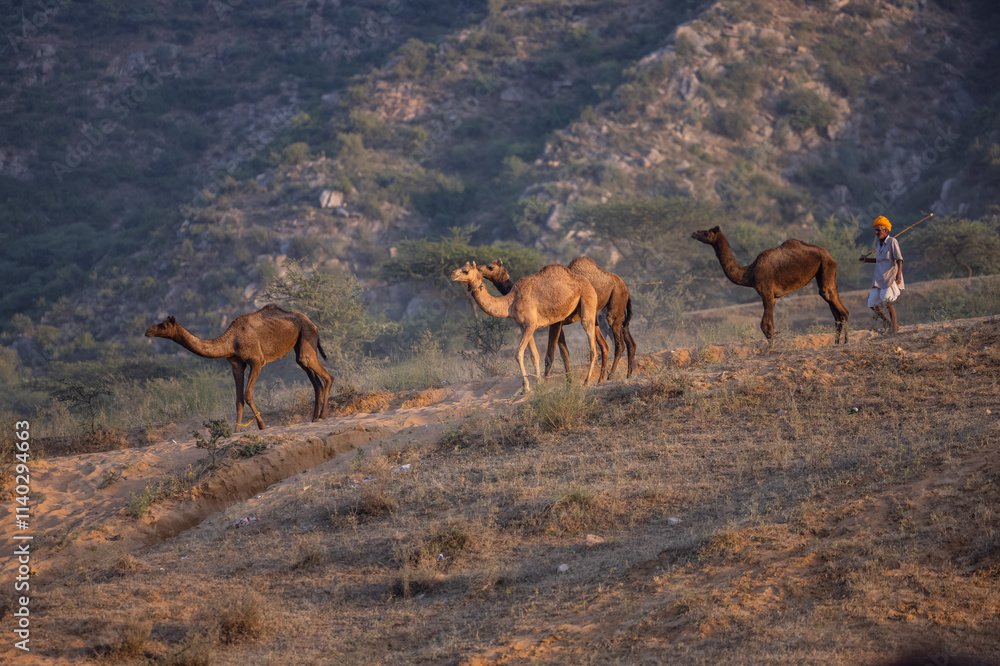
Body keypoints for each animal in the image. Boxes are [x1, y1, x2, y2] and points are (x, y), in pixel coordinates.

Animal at [145, 304, 333, 431]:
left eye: (163, 325)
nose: (148, 331)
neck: (231, 341)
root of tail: (313, 323)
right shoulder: (236, 364)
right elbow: (238, 399)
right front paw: (236, 431)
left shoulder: (256, 360)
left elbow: (247, 394)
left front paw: (262, 425)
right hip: (300, 344)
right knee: (314, 379)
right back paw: (314, 417)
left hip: (307, 334)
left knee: (322, 373)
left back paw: (323, 416)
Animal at [450, 261, 599, 393]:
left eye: (466, 271)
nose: (452, 274)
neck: (510, 302)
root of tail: (588, 282)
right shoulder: (523, 326)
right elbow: (534, 355)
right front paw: (538, 384)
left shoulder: (530, 324)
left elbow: (518, 353)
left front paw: (526, 388)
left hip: (587, 299)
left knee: (591, 342)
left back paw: (586, 382)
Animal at [479, 258, 636, 379]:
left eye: (490, 267)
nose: (479, 269)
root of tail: (625, 287)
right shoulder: (558, 323)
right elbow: (564, 353)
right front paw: (569, 383)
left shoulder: (556, 322)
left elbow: (550, 354)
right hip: (614, 315)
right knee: (620, 343)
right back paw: (617, 377)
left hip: (614, 304)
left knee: (618, 342)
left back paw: (610, 376)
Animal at [691, 225, 850, 343]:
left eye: (706, 232)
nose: (694, 233)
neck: (749, 272)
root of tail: (830, 256)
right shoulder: (772, 297)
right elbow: (765, 324)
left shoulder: (766, 293)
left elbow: (767, 325)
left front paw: (771, 349)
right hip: (823, 271)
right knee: (835, 310)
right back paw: (836, 343)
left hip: (826, 266)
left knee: (839, 307)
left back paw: (846, 341)